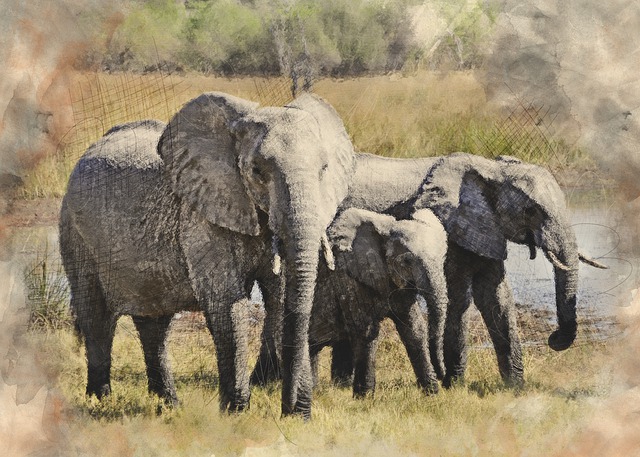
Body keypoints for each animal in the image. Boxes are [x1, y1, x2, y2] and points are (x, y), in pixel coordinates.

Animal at [59, 91, 355, 419]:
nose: (293, 411)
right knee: (96, 316)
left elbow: (280, 301)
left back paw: (169, 405)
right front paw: (236, 414)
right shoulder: (201, 216)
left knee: (154, 323)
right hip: (74, 230)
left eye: (324, 170)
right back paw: (99, 401)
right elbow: (227, 303)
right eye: (257, 171)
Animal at [308, 207, 448, 397]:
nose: (443, 376)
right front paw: (364, 398)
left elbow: (414, 329)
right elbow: (367, 331)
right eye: (407, 261)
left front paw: (432, 394)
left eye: (443, 258)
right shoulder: (348, 278)